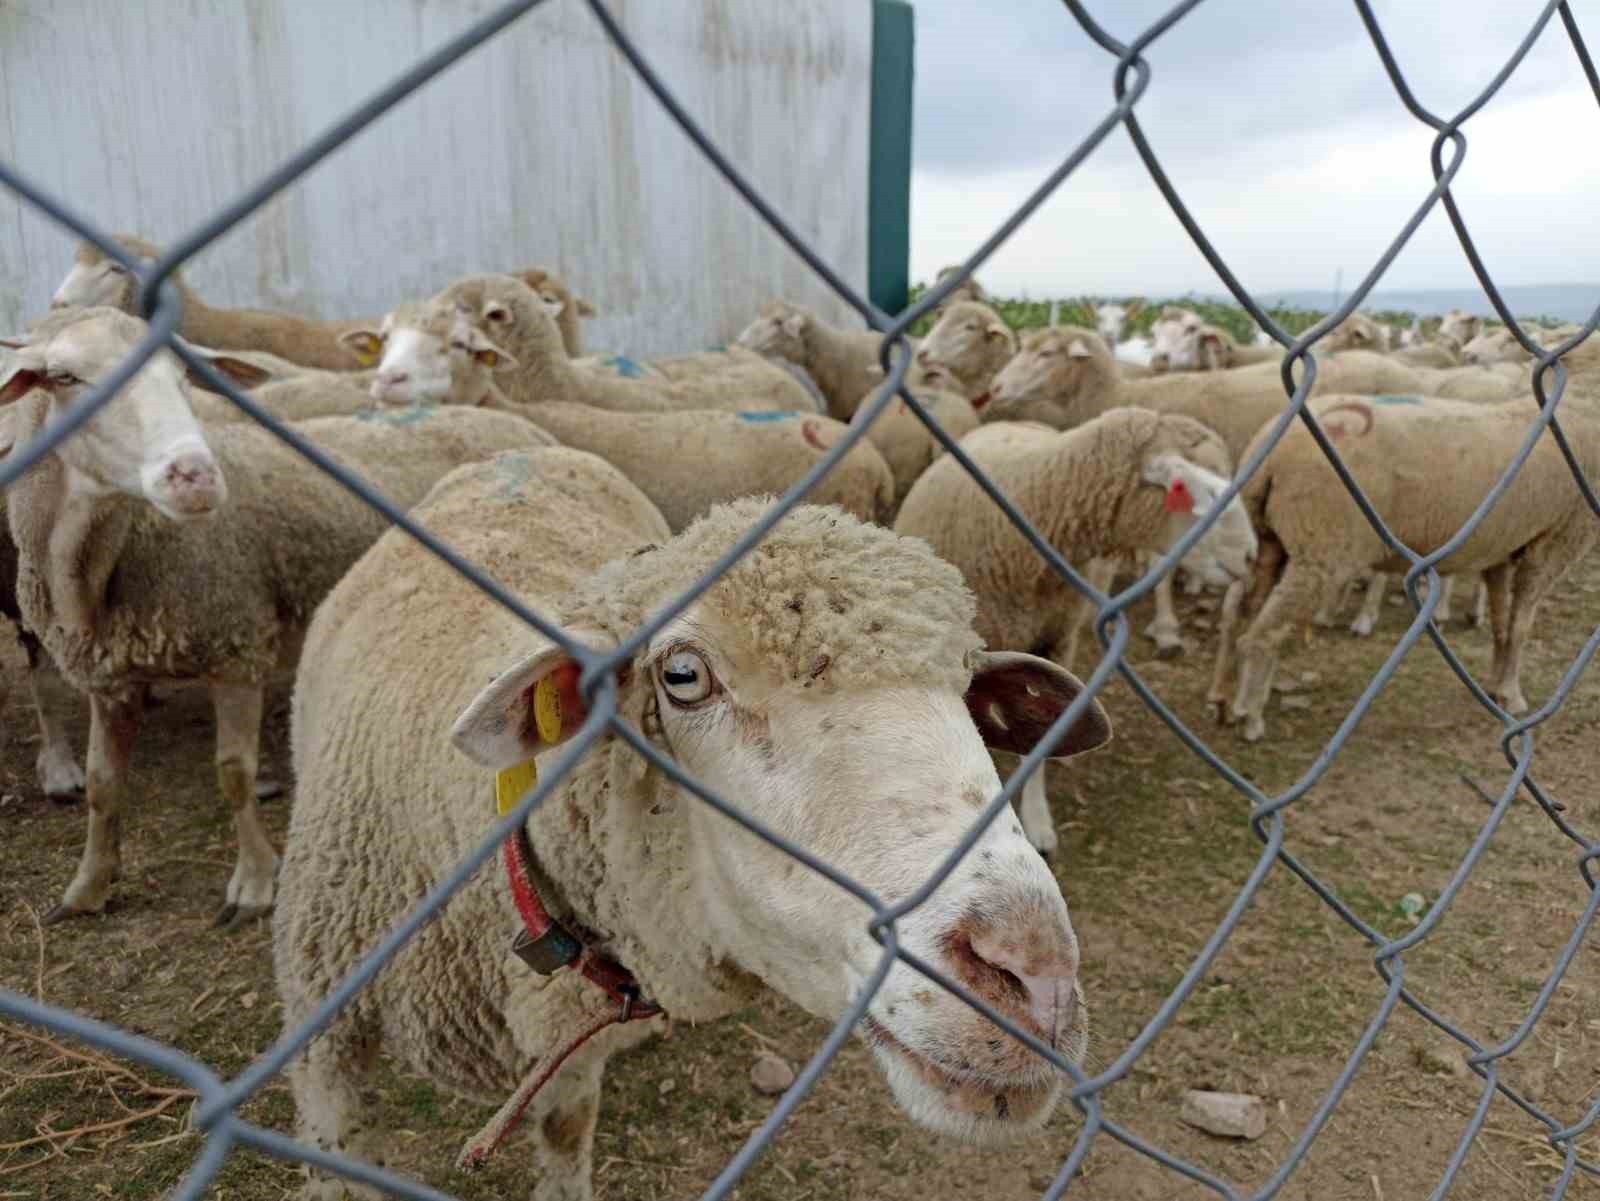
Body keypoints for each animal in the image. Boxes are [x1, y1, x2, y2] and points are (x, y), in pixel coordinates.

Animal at [0, 307, 563, 921]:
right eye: (64, 377)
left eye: (184, 376)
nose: (196, 476)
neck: (96, 564)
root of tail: (510, 422)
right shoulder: (109, 678)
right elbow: (103, 785)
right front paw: (89, 884)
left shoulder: (236, 647)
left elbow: (234, 775)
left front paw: (253, 881)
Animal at [272, 454, 1113, 1201]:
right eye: (681, 676)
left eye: (969, 681)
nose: (1036, 974)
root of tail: (516, 454)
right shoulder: (322, 1036)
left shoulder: (569, 1061)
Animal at [1203, 391, 1593, 742]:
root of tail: (1272, 451)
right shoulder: (1557, 541)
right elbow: (1521, 627)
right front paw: (1512, 694)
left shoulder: (1501, 549)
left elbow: (1502, 625)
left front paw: (1495, 687)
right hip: (1323, 546)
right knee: (1262, 634)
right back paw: (1250, 717)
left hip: (1266, 535)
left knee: (1237, 612)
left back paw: (1222, 698)